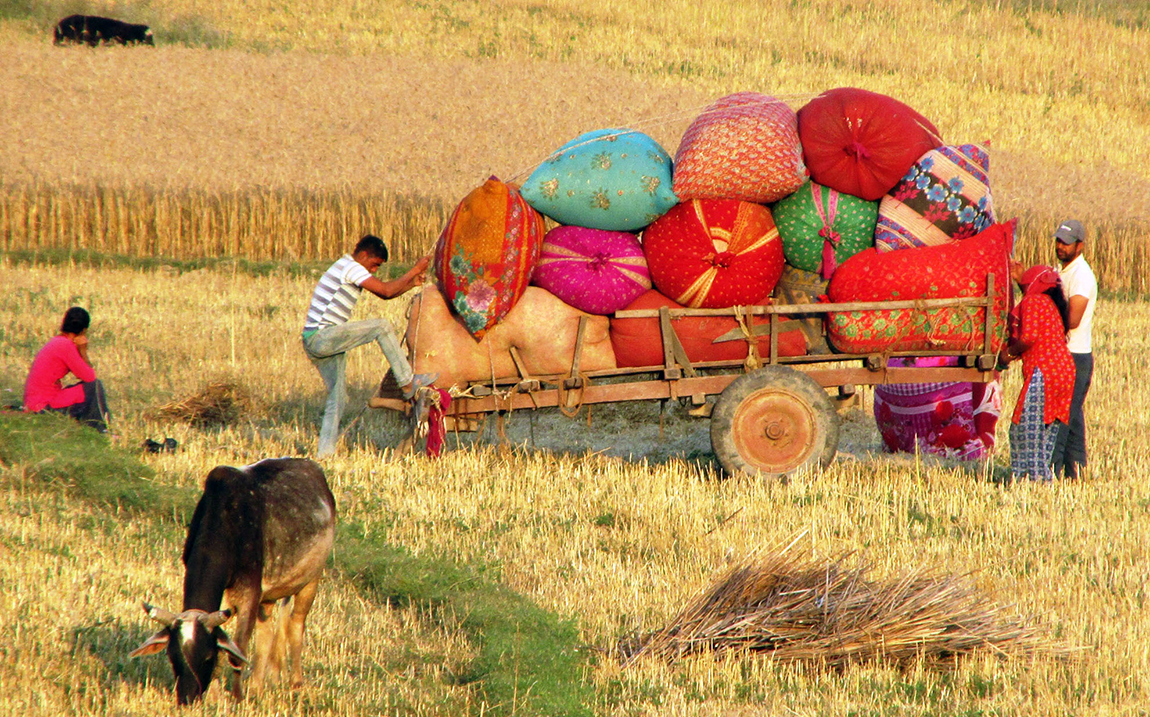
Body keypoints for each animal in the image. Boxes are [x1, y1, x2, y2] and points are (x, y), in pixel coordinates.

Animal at [131, 458, 335, 704]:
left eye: (207, 656)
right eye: (172, 656)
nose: (187, 698)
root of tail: (313, 469)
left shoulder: (249, 592)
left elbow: (238, 651)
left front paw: (237, 697)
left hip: (311, 580)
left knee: (297, 622)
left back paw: (296, 682)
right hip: (269, 597)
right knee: (266, 634)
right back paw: (258, 686)